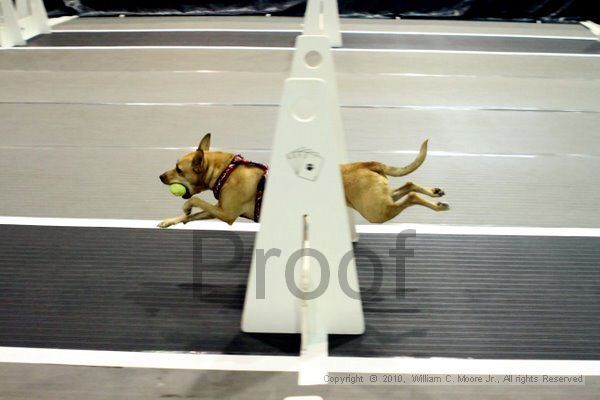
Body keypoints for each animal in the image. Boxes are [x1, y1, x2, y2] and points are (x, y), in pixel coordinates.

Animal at [157, 134, 448, 228]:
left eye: (178, 169)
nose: (160, 176)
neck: (226, 170)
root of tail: (368, 163)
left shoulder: (226, 213)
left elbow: (196, 200)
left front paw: (185, 206)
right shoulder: (219, 211)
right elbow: (193, 213)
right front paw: (171, 220)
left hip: (376, 211)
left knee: (411, 195)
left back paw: (437, 205)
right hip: (379, 201)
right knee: (408, 186)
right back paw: (435, 193)